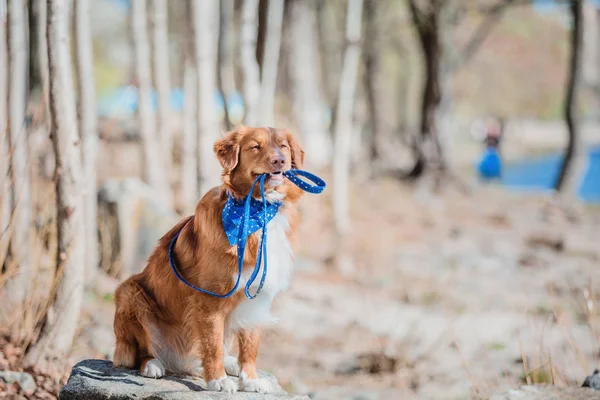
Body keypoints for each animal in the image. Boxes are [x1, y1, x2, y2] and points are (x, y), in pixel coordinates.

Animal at [113, 126, 304, 392]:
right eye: (255, 146)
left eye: (283, 146)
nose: (280, 161)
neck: (257, 210)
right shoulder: (209, 300)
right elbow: (212, 344)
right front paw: (218, 381)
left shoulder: (256, 294)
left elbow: (250, 345)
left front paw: (250, 379)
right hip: (130, 292)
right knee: (140, 352)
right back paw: (153, 364)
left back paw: (228, 362)